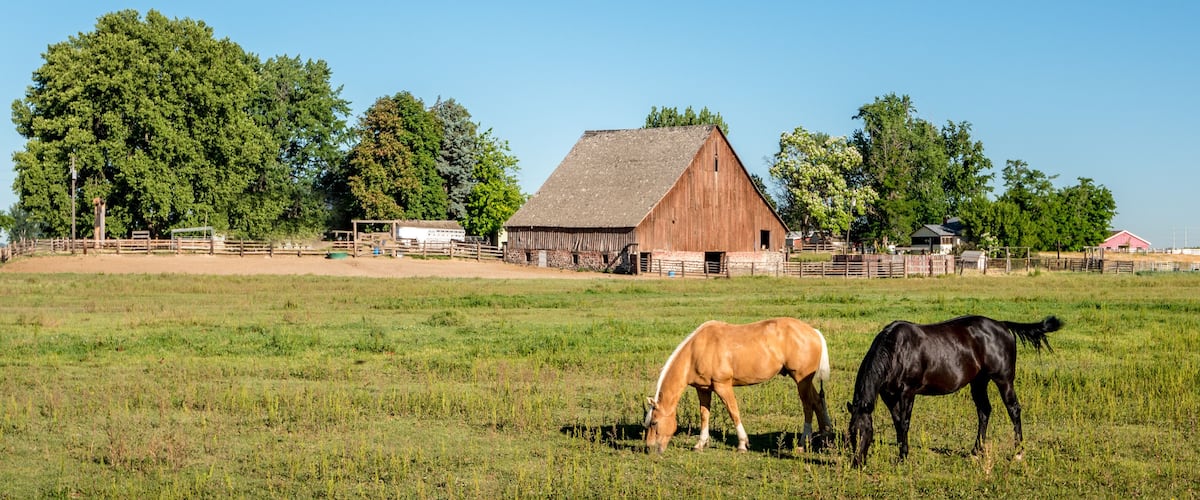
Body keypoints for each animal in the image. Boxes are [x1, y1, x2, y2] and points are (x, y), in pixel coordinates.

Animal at [643, 317, 833, 454]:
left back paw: (802, 443)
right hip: (805, 381)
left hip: (801, 381)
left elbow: (733, 412)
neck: (696, 351)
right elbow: (704, 415)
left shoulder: (723, 386)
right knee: (817, 401)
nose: (649, 449)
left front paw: (742, 444)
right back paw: (825, 435)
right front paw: (700, 443)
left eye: (654, 423)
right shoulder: (703, 390)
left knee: (808, 406)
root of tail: (813, 332)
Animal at [846, 315, 1061, 468]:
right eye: (851, 434)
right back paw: (976, 451)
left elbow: (904, 423)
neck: (896, 350)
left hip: (1004, 380)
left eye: (866, 432)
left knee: (1013, 410)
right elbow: (898, 423)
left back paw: (1018, 452)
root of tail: (1002, 325)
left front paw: (903, 457)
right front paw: (902, 454)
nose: (857, 464)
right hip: (979, 381)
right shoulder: (888, 396)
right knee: (984, 411)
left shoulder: (907, 392)